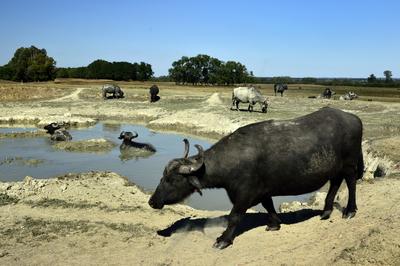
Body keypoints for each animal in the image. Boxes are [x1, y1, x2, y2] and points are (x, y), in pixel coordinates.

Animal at [148, 107, 364, 249]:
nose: (152, 201)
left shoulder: (244, 193)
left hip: (349, 165)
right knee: (335, 183)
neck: (233, 159)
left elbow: (234, 216)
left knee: (351, 183)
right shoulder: (262, 191)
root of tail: (353, 118)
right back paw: (326, 211)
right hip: (335, 169)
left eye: (171, 180)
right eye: (161, 177)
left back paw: (350, 211)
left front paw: (223, 239)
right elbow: (268, 205)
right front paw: (274, 224)